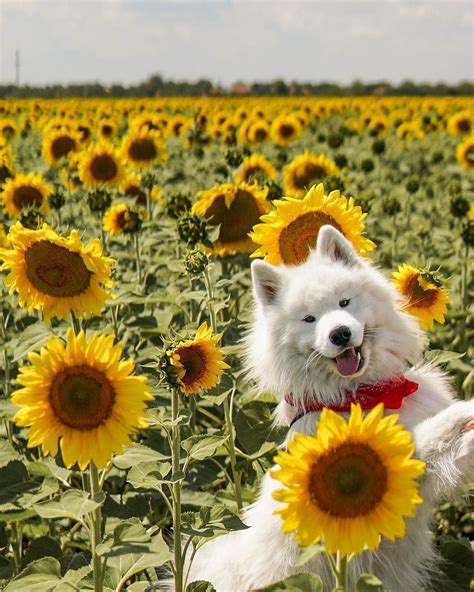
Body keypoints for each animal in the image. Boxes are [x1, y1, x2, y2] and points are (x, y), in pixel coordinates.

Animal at [187, 224, 472, 588]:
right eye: (309, 319)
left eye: (344, 302)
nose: (339, 334)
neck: (363, 395)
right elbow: (426, 437)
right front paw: (462, 412)